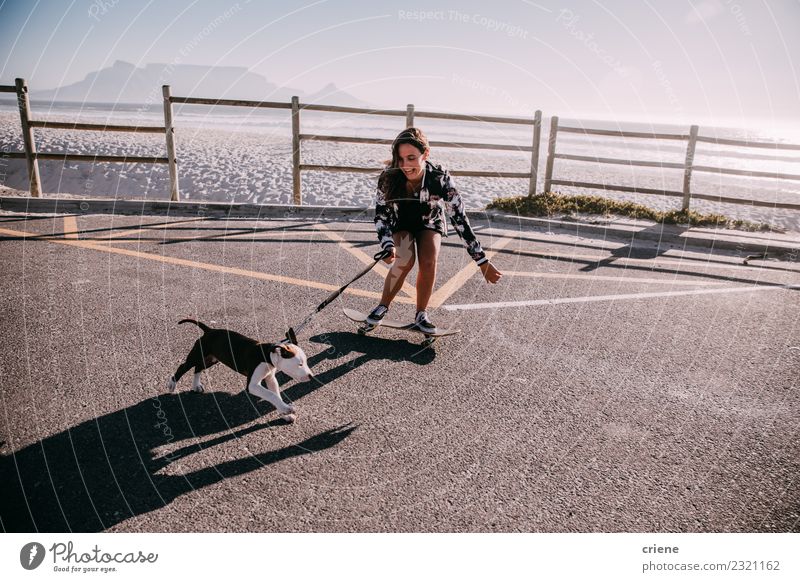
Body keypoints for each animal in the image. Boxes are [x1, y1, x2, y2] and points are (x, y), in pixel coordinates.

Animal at [167, 320, 314, 420]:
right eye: (299, 364)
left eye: (305, 362)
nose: (311, 376)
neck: (266, 355)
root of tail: (209, 331)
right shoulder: (252, 385)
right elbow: (271, 395)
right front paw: (286, 409)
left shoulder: (271, 378)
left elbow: (275, 394)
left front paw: (284, 413)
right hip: (197, 354)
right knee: (184, 367)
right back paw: (172, 384)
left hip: (212, 358)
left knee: (198, 368)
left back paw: (196, 385)